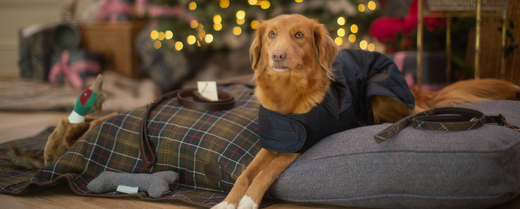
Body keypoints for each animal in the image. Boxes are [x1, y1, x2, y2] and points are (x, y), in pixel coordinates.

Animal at [212, 14, 520, 209]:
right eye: (271, 35)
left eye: (298, 35)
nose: (277, 55)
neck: (288, 91)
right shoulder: (276, 140)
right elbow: (246, 173)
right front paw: (228, 202)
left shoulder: (300, 142)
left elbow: (265, 173)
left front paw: (248, 202)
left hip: (380, 92)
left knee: (412, 113)